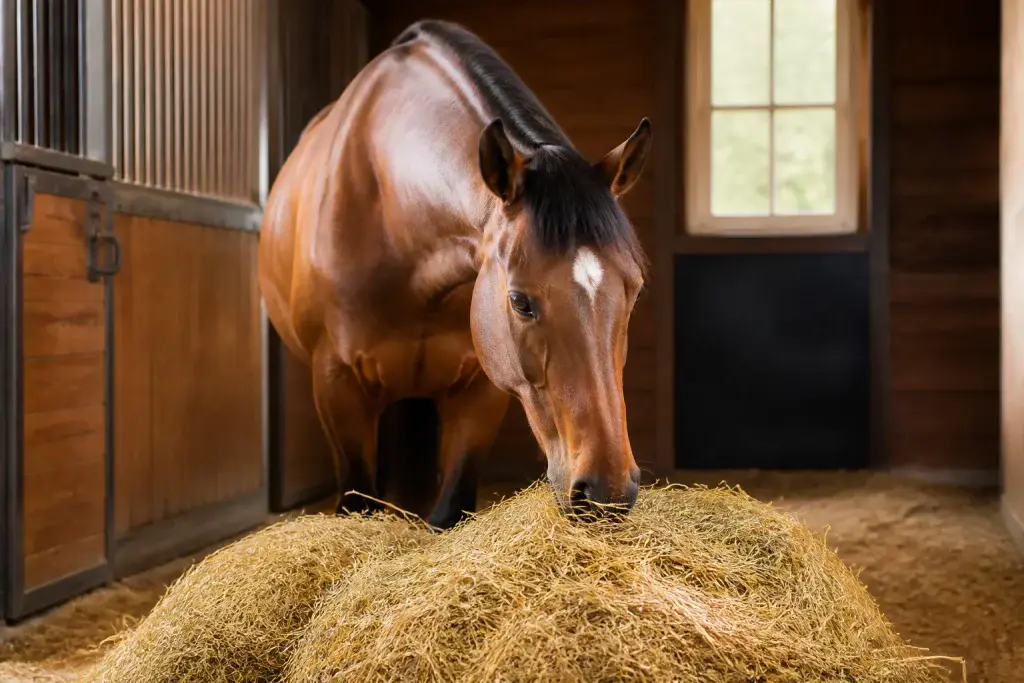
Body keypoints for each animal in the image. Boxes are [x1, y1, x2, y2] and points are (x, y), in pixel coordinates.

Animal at [257, 19, 652, 529]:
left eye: (635, 291)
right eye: (519, 301)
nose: (606, 493)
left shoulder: (479, 392)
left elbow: (450, 508)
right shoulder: (337, 384)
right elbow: (360, 501)